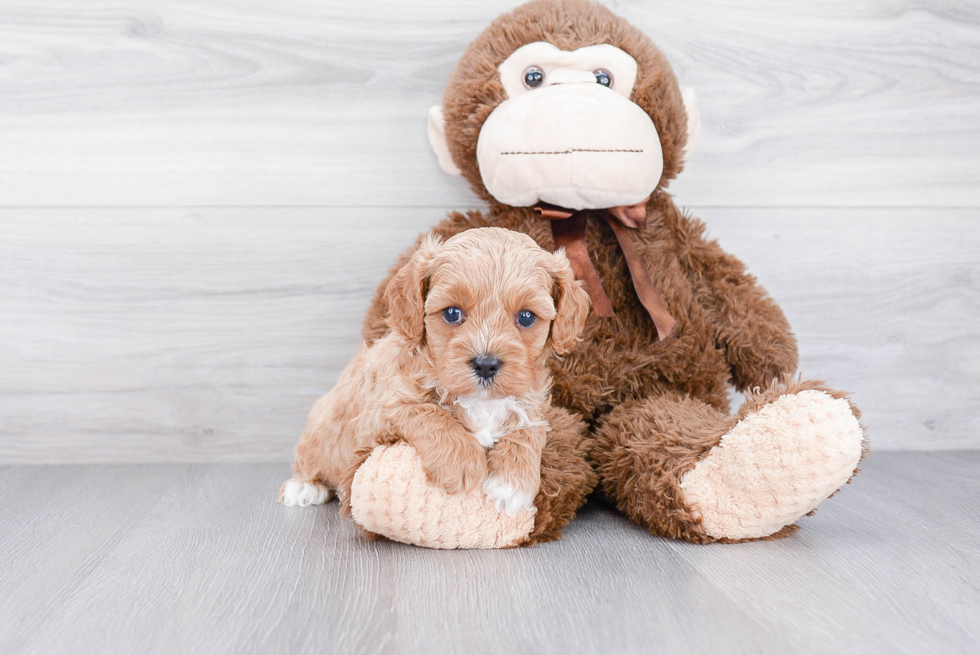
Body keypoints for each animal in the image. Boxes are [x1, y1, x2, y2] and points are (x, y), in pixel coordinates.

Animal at [282, 228, 588, 516]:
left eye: (526, 317)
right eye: (452, 313)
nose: (485, 364)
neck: (480, 401)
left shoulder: (533, 406)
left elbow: (528, 431)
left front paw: (512, 485)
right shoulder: (381, 410)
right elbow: (429, 412)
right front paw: (462, 462)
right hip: (319, 429)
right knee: (308, 458)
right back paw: (304, 487)